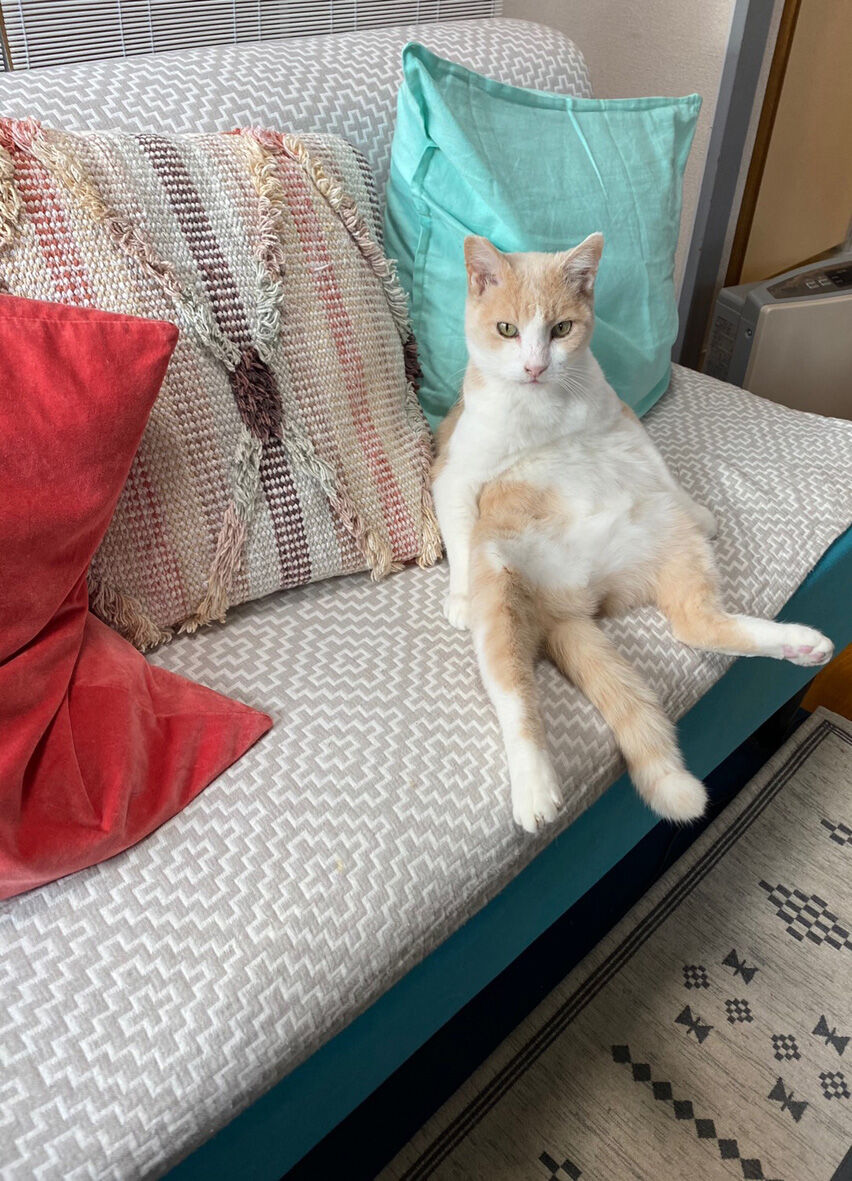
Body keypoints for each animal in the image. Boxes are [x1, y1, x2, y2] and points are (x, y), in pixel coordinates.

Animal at [432, 233, 833, 833]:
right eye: (507, 329)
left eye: (561, 329)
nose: (534, 366)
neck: (543, 410)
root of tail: (570, 603)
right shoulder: (455, 473)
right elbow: (458, 530)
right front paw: (458, 596)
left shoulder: (622, 425)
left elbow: (660, 466)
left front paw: (703, 509)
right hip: (500, 597)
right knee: (515, 697)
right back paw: (535, 787)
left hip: (670, 540)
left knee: (695, 624)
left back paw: (802, 644)